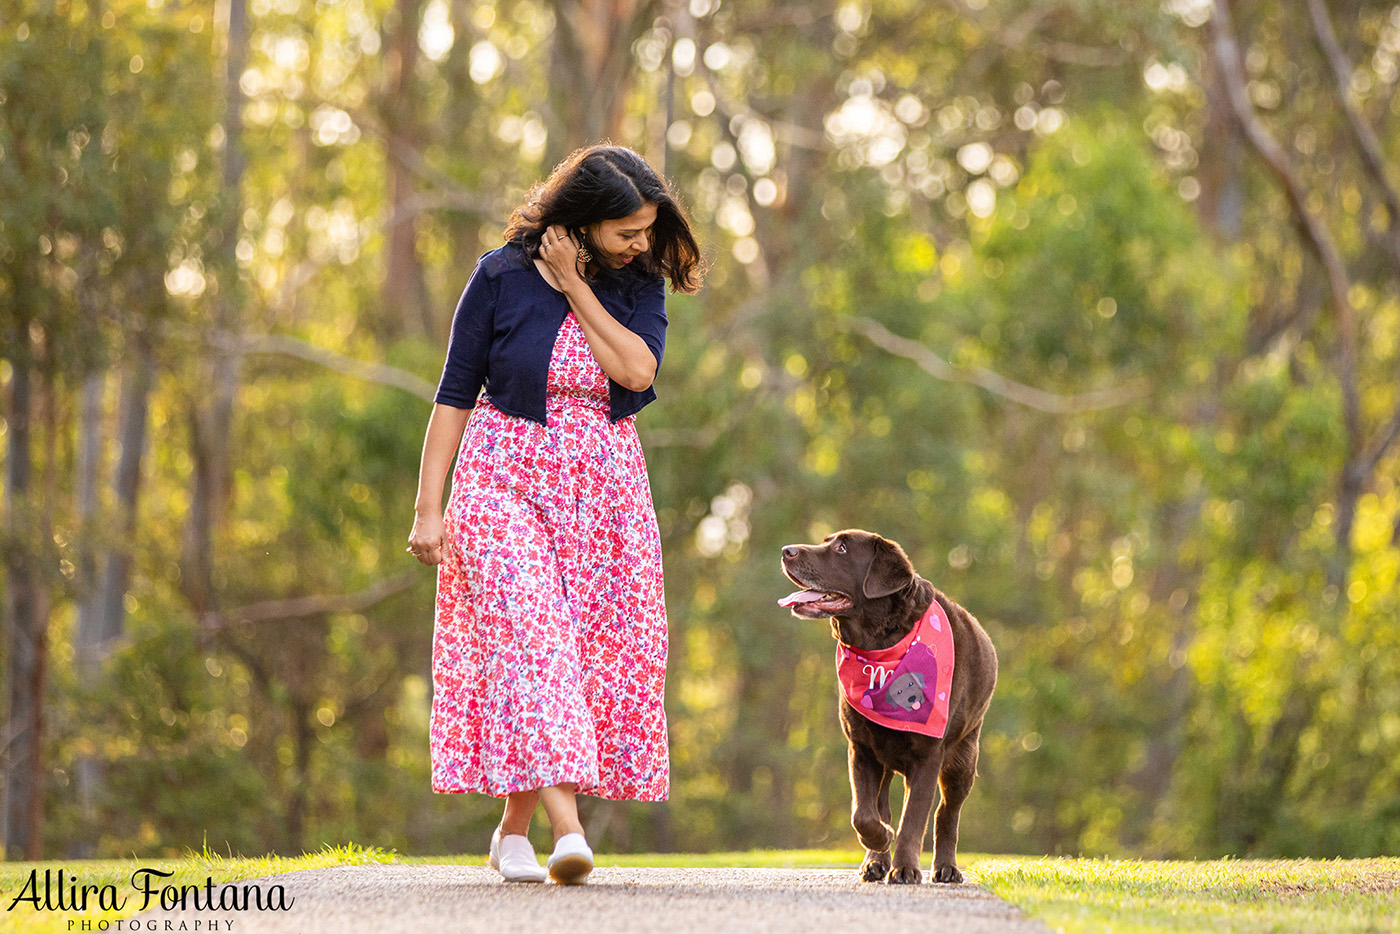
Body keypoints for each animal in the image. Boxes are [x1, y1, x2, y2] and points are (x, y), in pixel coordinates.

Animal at [778, 532, 996, 884]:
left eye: (841, 548)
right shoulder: (862, 747)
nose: (786, 551)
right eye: (826, 541)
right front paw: (879, 840)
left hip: (964, 756)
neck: (879, 646)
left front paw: (905, 868)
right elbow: (863, 812)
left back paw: (946, 868)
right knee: (883, 806)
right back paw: (876, 861)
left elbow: (913, 819)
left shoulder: (928, 756)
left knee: (946, 813)